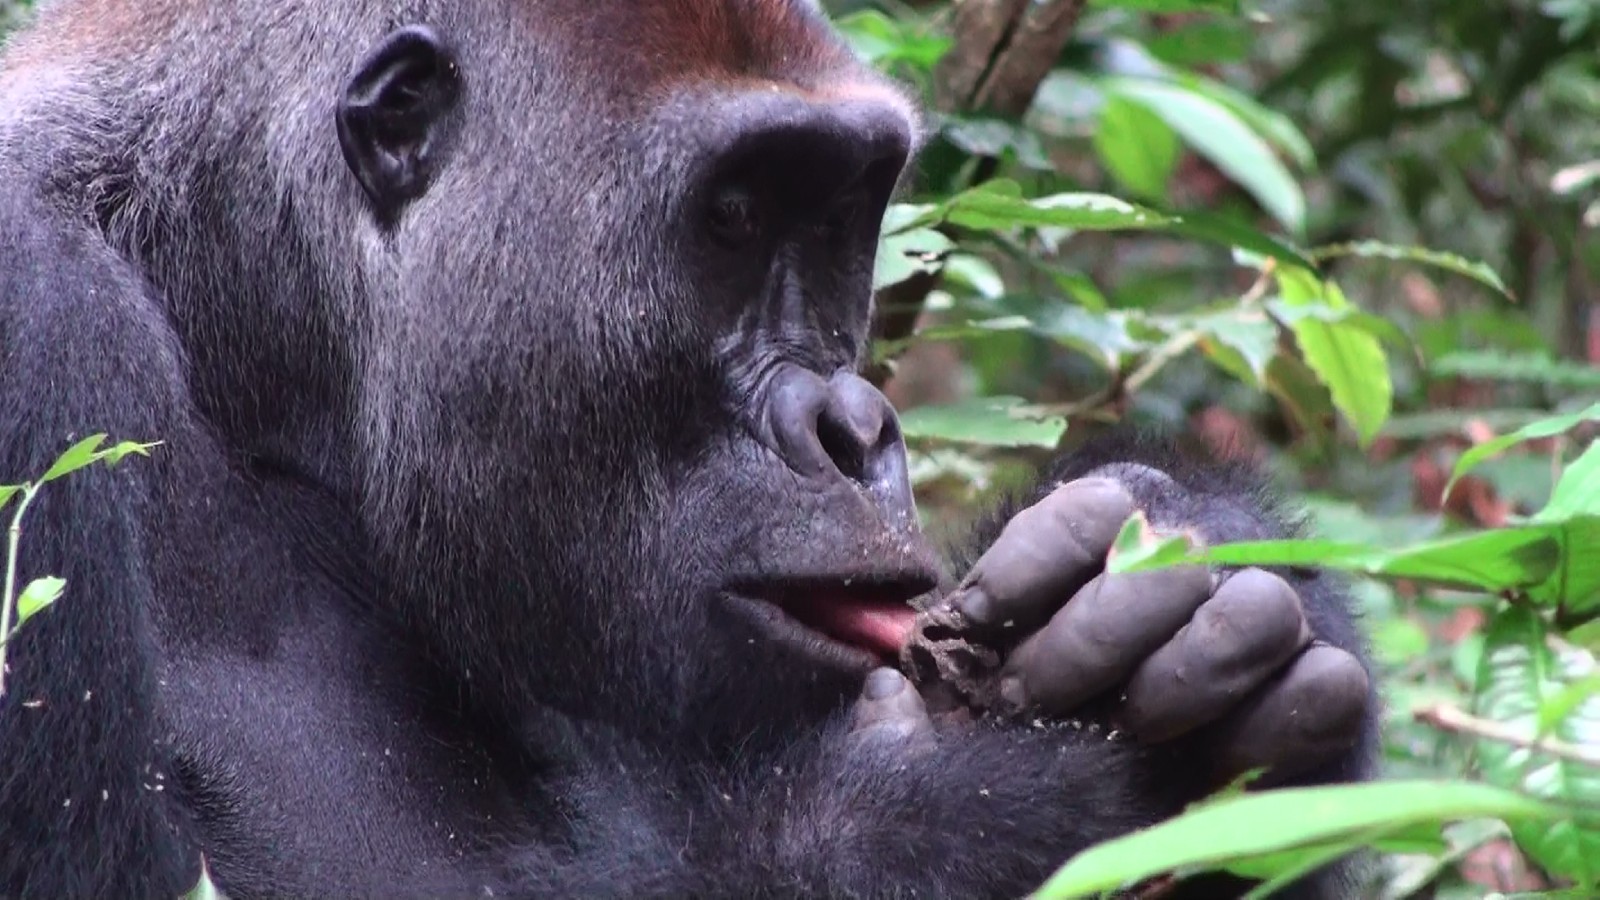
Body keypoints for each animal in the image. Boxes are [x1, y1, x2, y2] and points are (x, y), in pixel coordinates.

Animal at [0, 1, 1376, 896]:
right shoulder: (34, 318)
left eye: (835, 221)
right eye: (734, 216)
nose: (855, 428)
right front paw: (978, 797)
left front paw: (1195, 559)